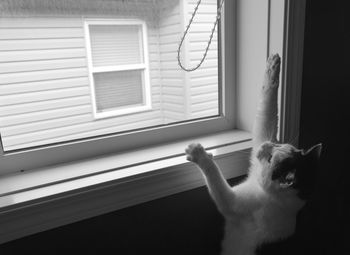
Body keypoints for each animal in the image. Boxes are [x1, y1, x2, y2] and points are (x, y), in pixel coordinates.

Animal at [185, 54, 322, 255]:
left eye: (271, 159)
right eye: (278, 144)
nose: (266, 145)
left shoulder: (233, 203)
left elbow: (215, 178)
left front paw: (198, 154)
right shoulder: (261, 137)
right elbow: (266, 114)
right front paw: (273, 67)